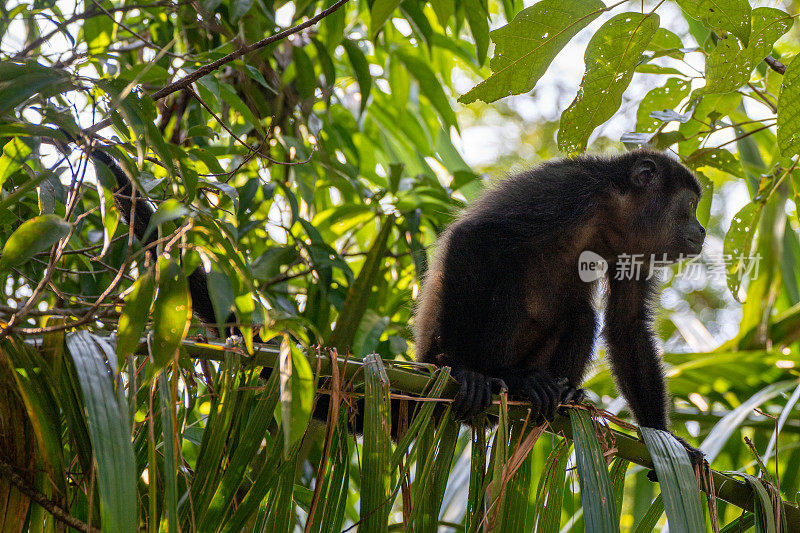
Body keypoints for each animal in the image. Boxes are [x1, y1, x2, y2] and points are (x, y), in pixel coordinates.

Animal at [416, 149, 704, 462]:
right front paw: (462, 369)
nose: (702, 230)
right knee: (507, 287)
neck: (611, 213)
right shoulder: (567, 191)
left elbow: (627, 324)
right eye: (691, 204)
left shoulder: (635, 249)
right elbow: (474, 235)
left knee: (582, 315)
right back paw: (506, 378)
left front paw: (665, 437)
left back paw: (562, 395)